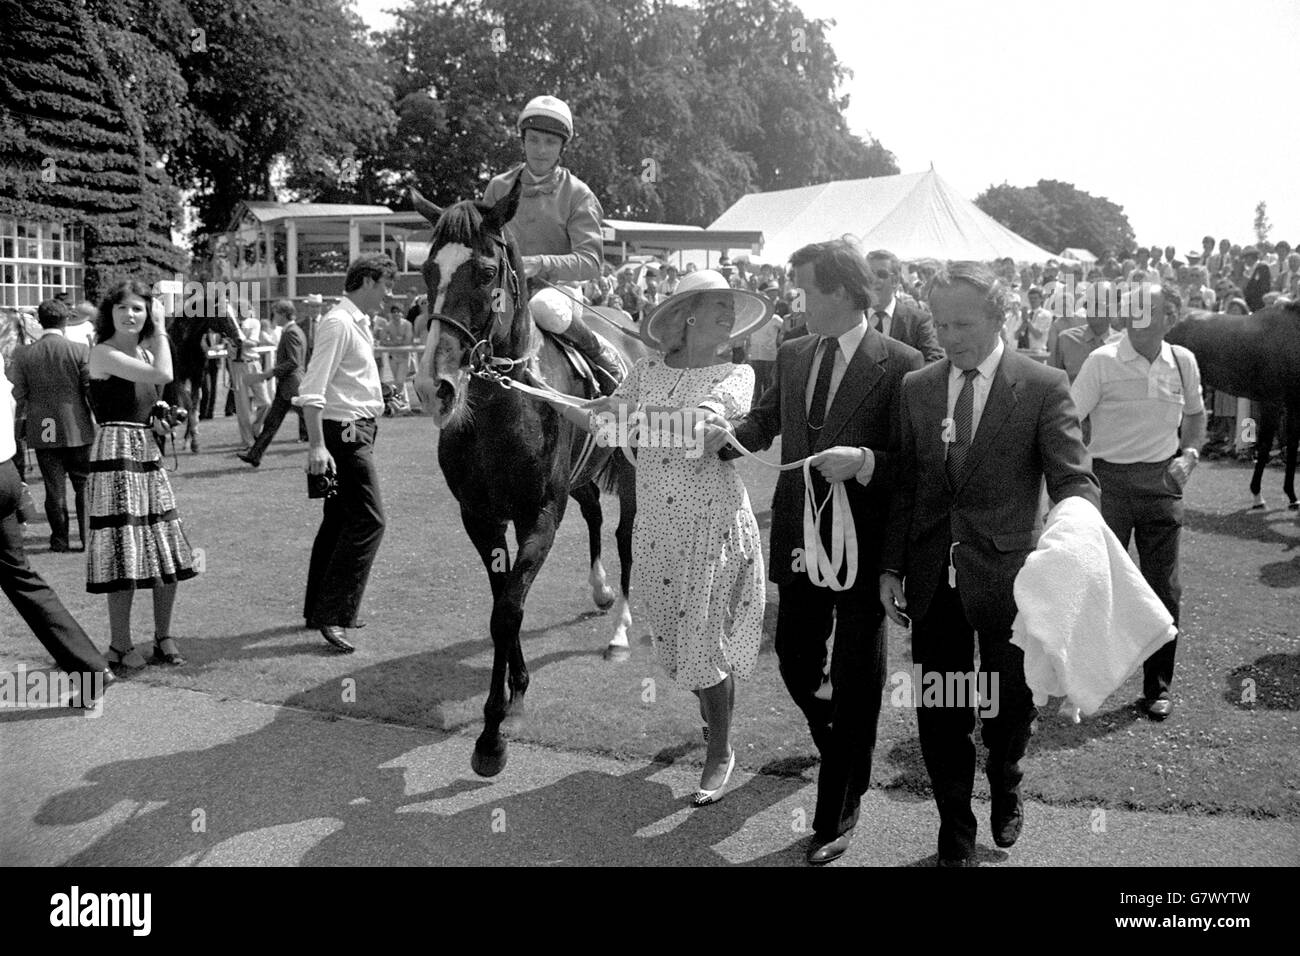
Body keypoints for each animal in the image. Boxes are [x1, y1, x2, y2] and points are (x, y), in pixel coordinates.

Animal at [410, 174, 644, 780]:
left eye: (486, 271)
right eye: (427, 272)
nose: (433, 386)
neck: (503, 407)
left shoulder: (540, 513)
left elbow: (509, 608)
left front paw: (492, 733)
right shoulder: (482, 517)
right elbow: (503, 602)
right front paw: (514, 694)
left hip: (633, 475)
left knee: (625, 539)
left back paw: (620, 630)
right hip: (580, 479)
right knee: (594, 516)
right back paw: (600, 591)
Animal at [1170, 300, 1300, 509]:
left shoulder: (1294, 403)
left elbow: (1292, 444)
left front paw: (1292, 496)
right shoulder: (1271, 402)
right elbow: (1264, 445)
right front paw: (1257, 495)